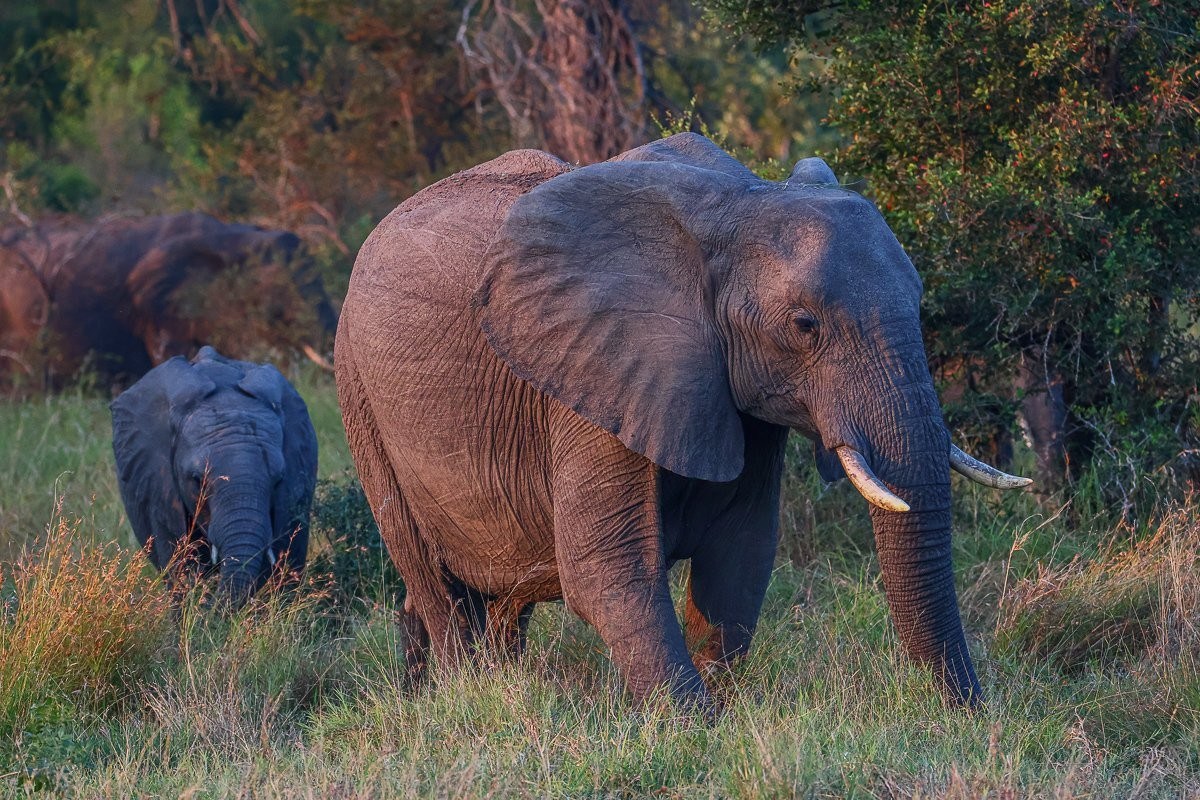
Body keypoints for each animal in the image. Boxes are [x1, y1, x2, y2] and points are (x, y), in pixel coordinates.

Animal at [334, 132, 1031, 709]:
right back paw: (470, 695)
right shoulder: (596, 371)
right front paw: (696, 725)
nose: (971, 714)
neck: (741, 200)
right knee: (434, 580)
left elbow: (740, 557)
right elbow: (608, 569)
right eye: (804, 325)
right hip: (359, 399)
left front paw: (724, 710)